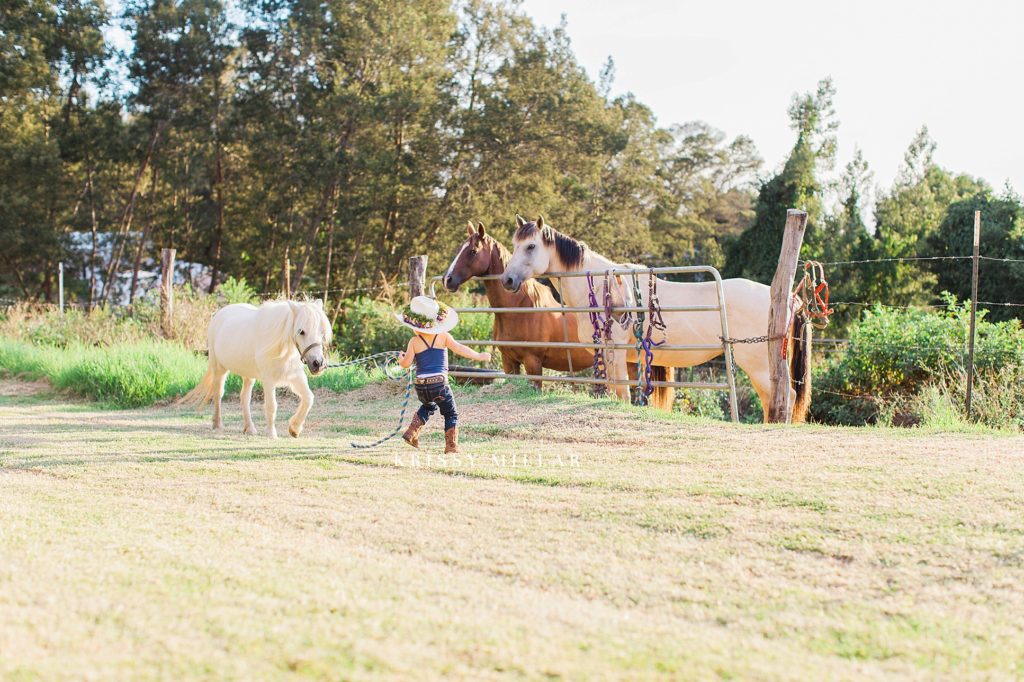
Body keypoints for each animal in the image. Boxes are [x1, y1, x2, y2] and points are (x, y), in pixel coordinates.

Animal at [180, 296, 331, 436]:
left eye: (322, 332)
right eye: (301, 331)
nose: (318, 363)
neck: (281, 348)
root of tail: (220, 313)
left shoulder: (295, 376)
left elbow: (308, 398)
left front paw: (294, 429)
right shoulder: (269, 380)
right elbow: (271, 406)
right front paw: (271, 434)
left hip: (248, 376)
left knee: (244, 398)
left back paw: (249, 428)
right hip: (219, 368)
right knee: (218, 394)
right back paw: (217, 424)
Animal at [499, 216, 811, 419]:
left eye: (531, 246)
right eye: (514, 245)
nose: (507, 280)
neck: (602, 286)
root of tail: (789, 299)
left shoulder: (615, 353)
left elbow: (621, 394)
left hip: (758, 365)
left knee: (784, 398)